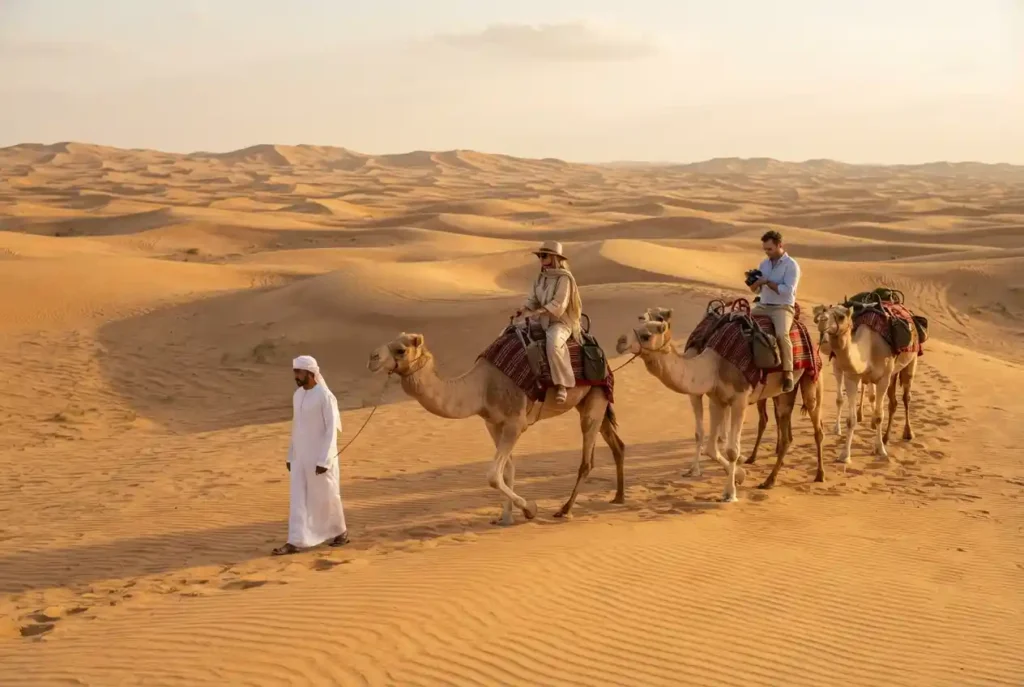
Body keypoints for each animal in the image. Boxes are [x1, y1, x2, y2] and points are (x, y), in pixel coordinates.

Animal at [367, 332, 625, 525]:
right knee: (617, 444)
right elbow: (508, 469)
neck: (481, 388)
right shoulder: (493, 423)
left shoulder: (515, 423)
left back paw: (566, 509)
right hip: (591, 400)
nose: (372, 357)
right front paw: (506, 517)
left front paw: (530, 509)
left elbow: (493, 475)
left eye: (401, 350)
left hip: (595, 398)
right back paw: (618, 497)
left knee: (587, 461)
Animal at [617, 309, 825, 502]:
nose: (620, 342)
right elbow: (710, 447)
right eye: (638, 323)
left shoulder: (739, 399)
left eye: (646, 335)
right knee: (786, 432)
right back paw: (769, 481)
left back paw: (819, 475)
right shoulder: (717, 398)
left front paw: (729, 493)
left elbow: (732, 450)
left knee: (816, 424)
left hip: (811, 378)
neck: (713, 364)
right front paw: (739, 475)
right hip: (783, 393)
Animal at [813, 304, 918, 463]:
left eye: (841, 316)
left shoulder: (883, 379)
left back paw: (907, 433)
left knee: (906, 397)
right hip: (891, 373)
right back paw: (884, 434)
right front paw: (844, 455)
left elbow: (879, 415)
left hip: (911, 361)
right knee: (891, 401)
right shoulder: (851, 376)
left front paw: (880, 450)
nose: (821, 320)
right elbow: (850, 419)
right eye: (823, 311)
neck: (869, 347)